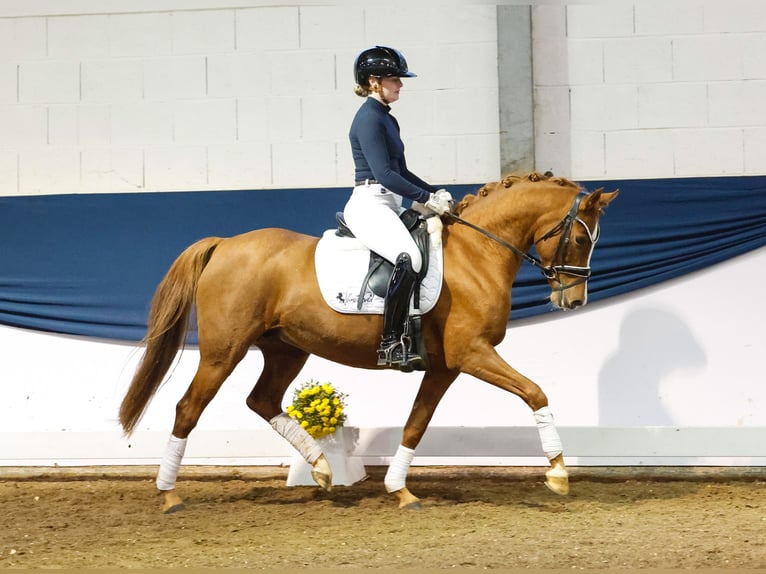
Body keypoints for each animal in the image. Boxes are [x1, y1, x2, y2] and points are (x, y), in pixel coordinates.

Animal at [121, 171, 624, 512]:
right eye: (582, 238)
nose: (573, 300)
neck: (476, 254)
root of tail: (225, 244)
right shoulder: (473, 353)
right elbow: (535, 392)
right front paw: (557, 473)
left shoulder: (446, 366)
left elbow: (416, 424)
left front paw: (400, 490)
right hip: (222, 352)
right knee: (188, 408)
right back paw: (169, 494)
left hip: (287, 349)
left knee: (261, 400)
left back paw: (321, 468)